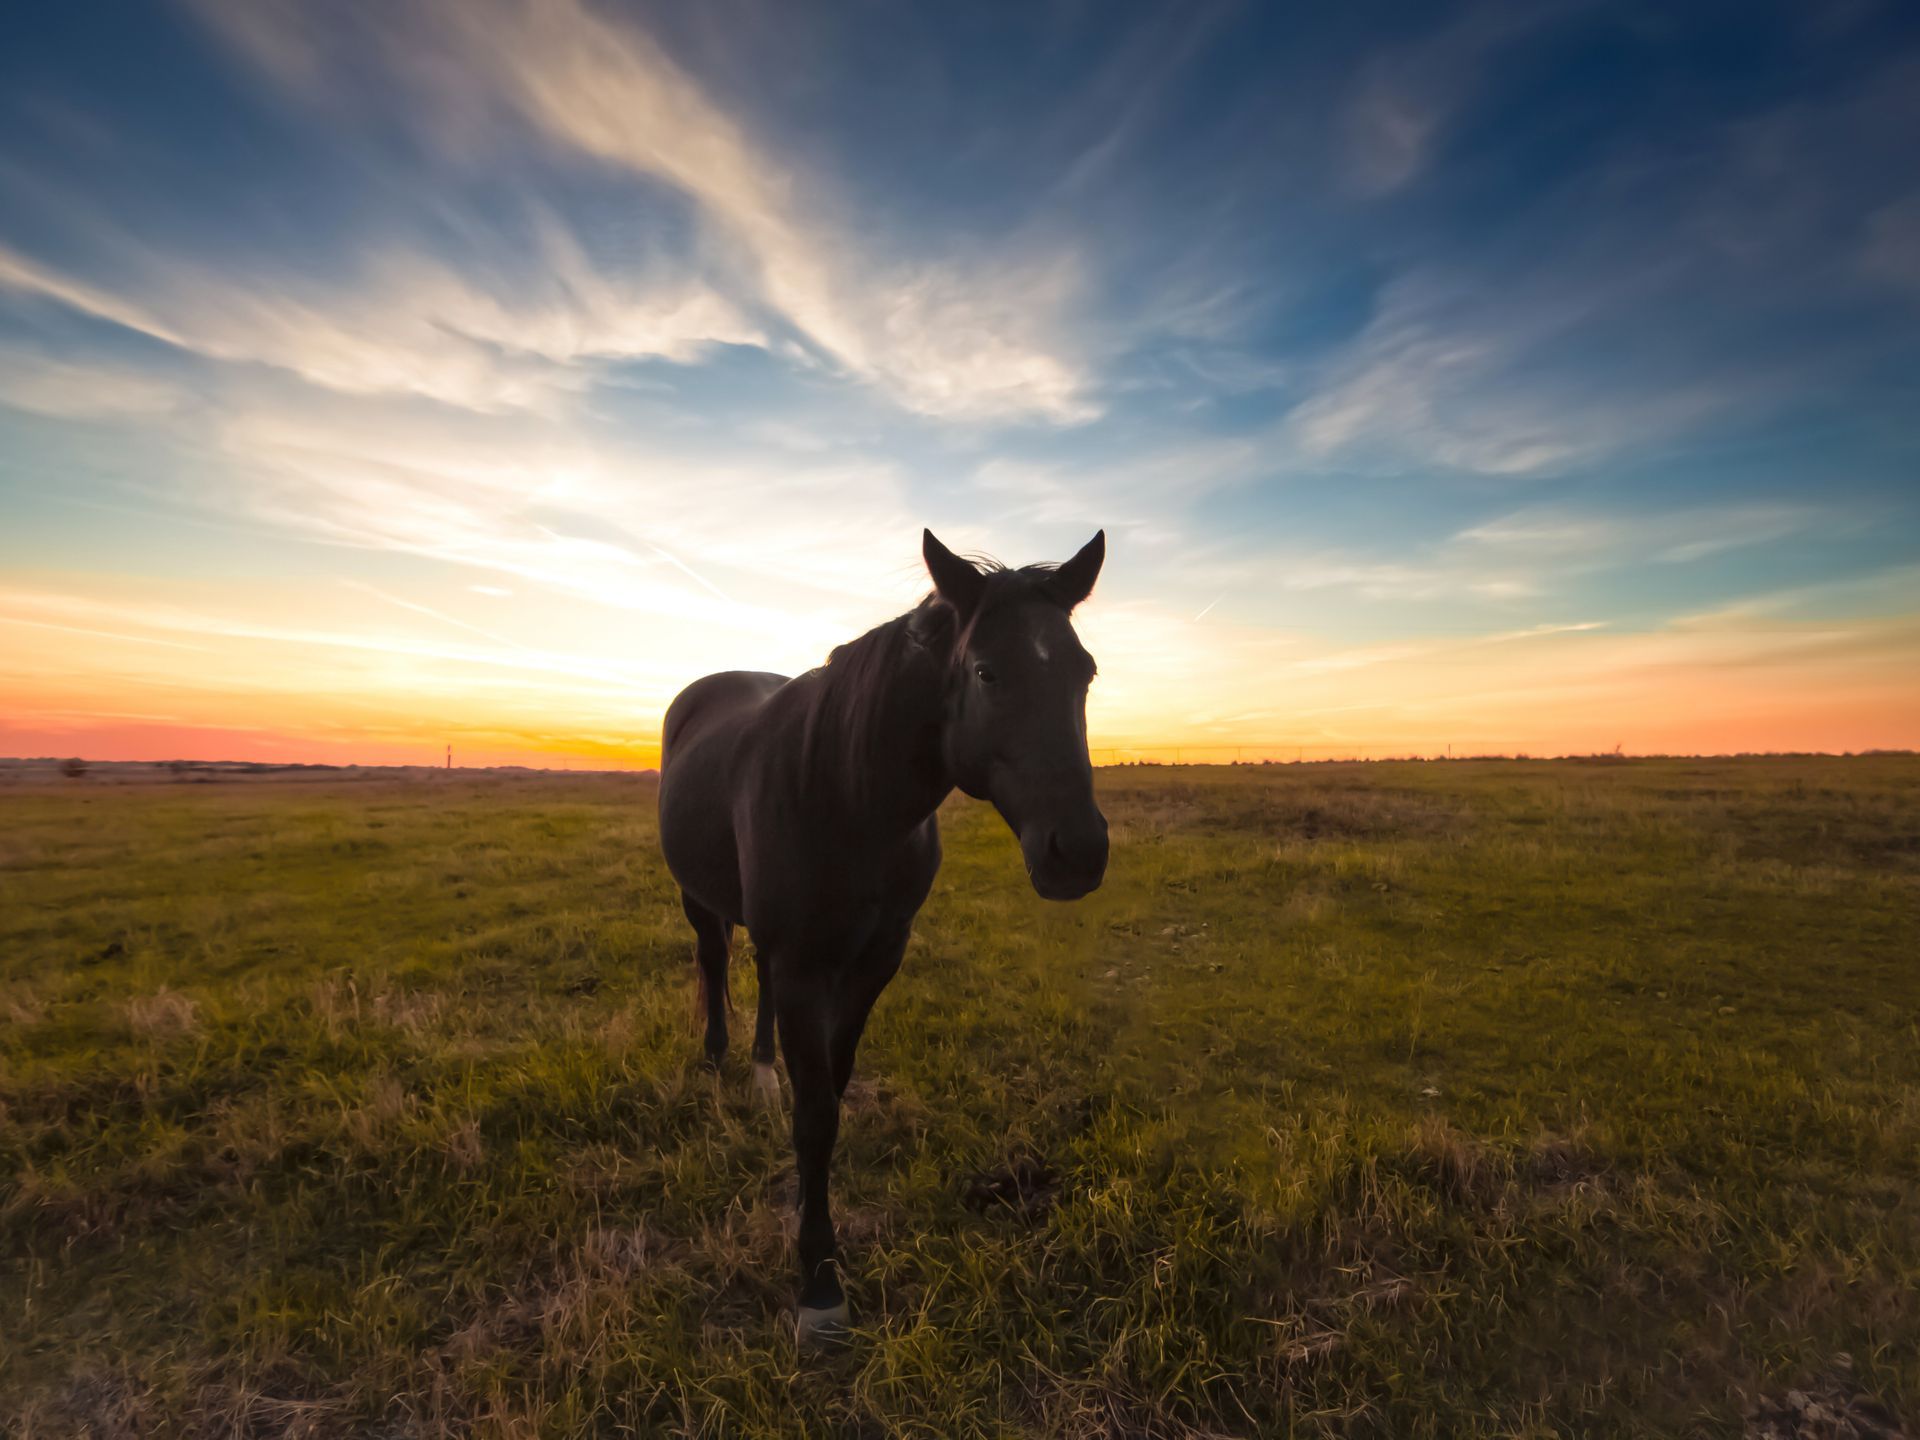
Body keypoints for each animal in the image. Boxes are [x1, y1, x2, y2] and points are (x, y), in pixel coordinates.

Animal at [656, 528, 1109, 1342]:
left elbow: (830, 1096)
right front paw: (817, 1282)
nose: (1079, 852)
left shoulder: (872, 963)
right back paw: (715, 1063)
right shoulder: (805, 965)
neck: (847, 794)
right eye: (986, 671)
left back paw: (762, 1072)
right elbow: (816, 1118)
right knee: (712, 963)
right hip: (700, 901)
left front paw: (811, 1219)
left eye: (1083, 672)